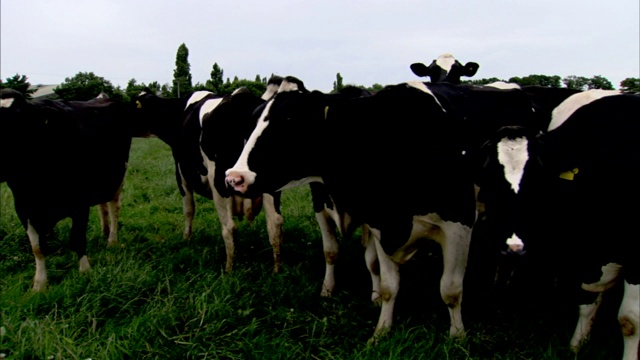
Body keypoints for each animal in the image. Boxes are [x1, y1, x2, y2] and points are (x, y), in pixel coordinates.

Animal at [0, 88, 136, 292]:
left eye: (18, 121)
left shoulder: (80, 203)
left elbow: (77, 238)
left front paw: (85, 271)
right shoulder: (23, 208)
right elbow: (37, 248)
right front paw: (39, 284)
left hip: (117, 176)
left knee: (113, 208)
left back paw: (112, 239)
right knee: (102, 206)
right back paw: (104, 231)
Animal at [224, 76, 556, 340]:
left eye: (289, 122)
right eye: (254, 121)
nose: (235, 178)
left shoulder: (458, 222)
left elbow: (450, 289)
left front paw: (457, 336)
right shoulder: (380, 221)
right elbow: (387, 284)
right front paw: (382, 330)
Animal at [476, 89, 640, 358]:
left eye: (537, 177)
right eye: (491, 176)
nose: (512, 247)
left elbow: (630, 320)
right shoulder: (589, 252)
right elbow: (587, 299)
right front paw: (576, 346)